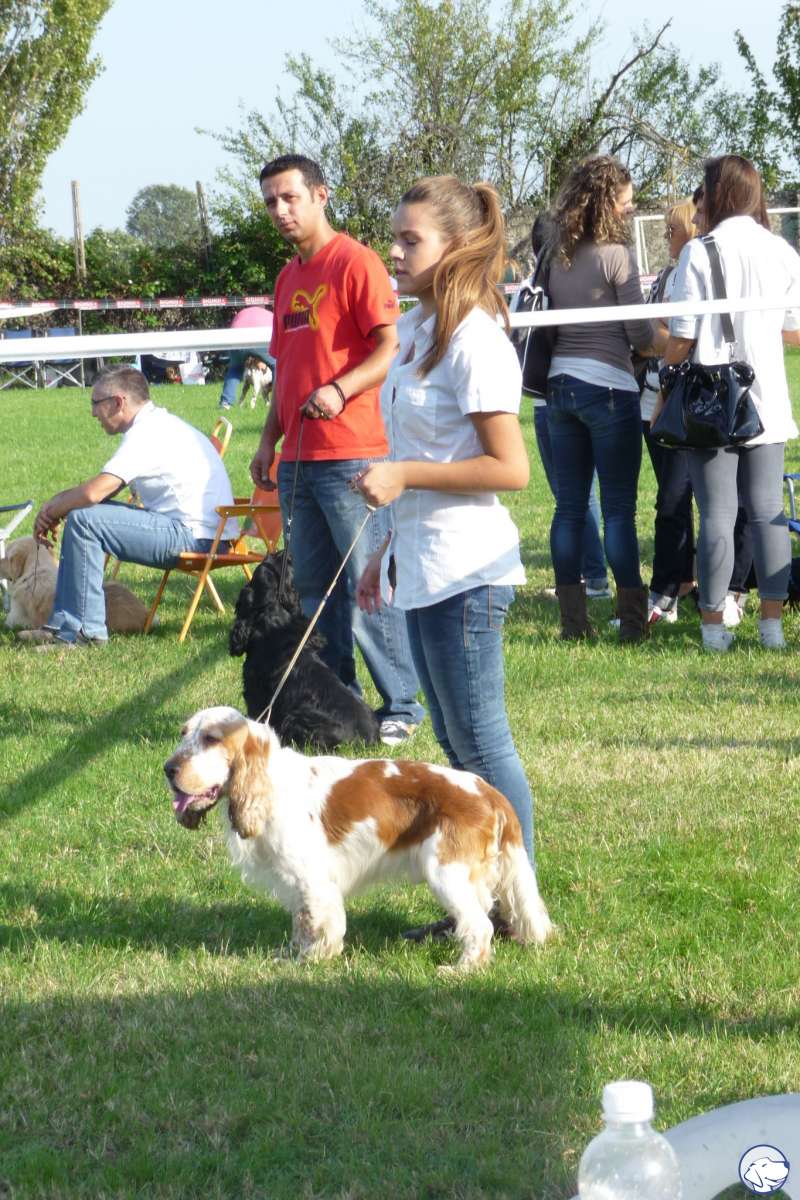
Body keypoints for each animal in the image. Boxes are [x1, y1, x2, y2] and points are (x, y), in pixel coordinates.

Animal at [165, 706, 553, 969]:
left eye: (211, 738)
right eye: (183, 733)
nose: (168, 768)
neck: (269, 784)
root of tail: (490, 794)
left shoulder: (312, 879)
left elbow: (319, 923)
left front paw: (312, 960)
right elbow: (301, 923)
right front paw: (291, 955)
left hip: (446, 873)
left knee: (479, 925)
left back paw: (460, 970)